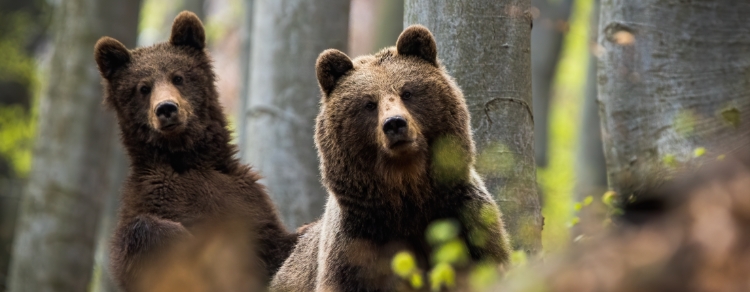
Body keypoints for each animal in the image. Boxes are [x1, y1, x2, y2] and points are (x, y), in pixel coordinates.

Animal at [92, 10, 296, 290]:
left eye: (178, 77)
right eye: (143, 88)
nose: (166, 108)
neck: (186, 156)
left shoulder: (247, 201)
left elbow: (278, 243)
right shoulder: (151, 198)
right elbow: (142, 236)